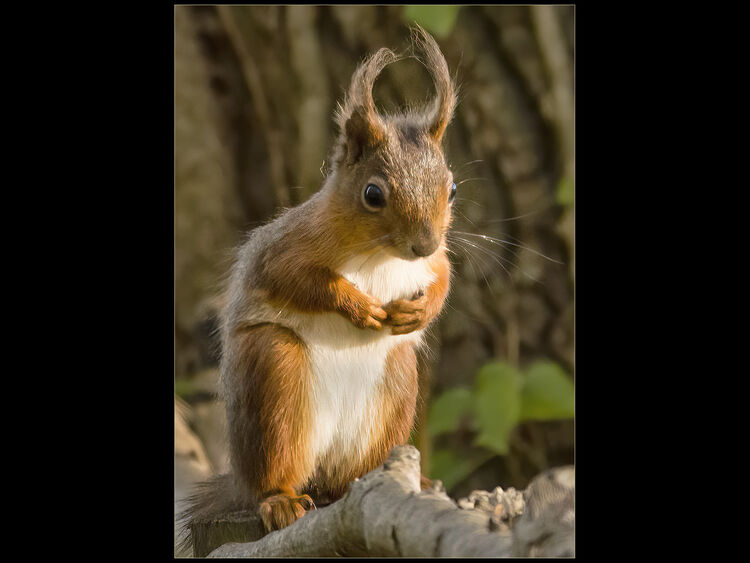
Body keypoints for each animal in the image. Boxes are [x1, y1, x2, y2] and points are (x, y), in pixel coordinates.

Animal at [180, 27, 458, 543]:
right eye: (373, 194)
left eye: (451, 189)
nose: (425, 243)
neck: (382, 255)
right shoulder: (287, 247)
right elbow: (297, 279)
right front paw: (357, 305)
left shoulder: (435, 264)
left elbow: (444, 280)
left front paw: (419, 311)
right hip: (274, 376)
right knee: (274, 472)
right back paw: (280, 501)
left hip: (396, 381)